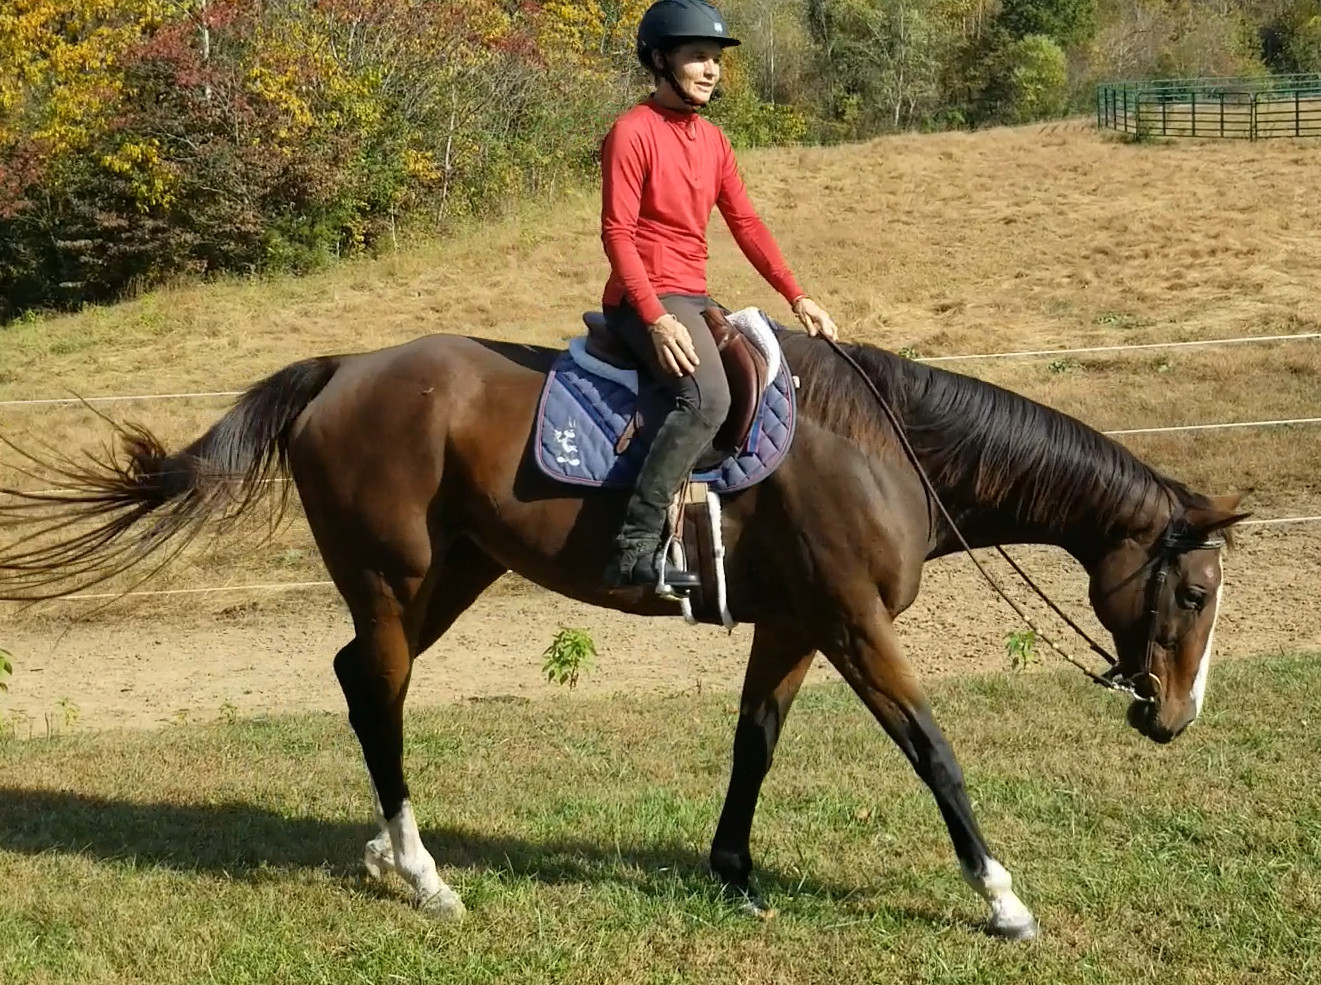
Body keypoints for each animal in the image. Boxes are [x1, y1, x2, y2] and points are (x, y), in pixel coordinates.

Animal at [0, 314, 1241, 934]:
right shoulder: (851, 624)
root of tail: (343, 371)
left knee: (358, 679)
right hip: (396, 580)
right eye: (1189, 594)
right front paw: (1000, 896)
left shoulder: (791, 626)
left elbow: (753, 744)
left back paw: (389, 855)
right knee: (379, 693)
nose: (1176, 717)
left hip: (451, 576)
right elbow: (932, 750)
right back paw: (425, 873)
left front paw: (734, 871)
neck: (883, 449)